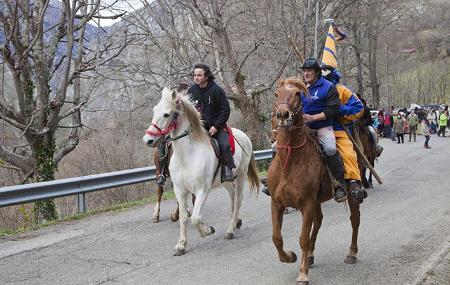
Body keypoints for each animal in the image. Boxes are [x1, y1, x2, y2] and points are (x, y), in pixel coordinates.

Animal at [142, 87, 258, 255]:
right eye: (154, 110)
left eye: (166, 114)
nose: (148, 140)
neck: (186, 154)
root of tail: (244, 135)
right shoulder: (180, 189)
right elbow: (184, 216)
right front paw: (181, 245)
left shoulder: (202, 189)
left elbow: (195, 217)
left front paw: (207, 230)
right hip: (226, 182)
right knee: (232, 197)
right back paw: (235, 222)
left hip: (241, 176)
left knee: (238, 201)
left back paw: (230, 230)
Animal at [268, 76, 362, 282]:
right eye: (277, 94)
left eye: (297, 94)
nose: (282, 115)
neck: (290, 161)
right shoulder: (277, 203)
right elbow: (276, 238)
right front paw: (290, 257)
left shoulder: (307, 203)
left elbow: (303, 238)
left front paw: (303, 273)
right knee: (318, 223)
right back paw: (310, 256)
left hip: (350, 197)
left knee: (354, 220)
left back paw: (351, 253)